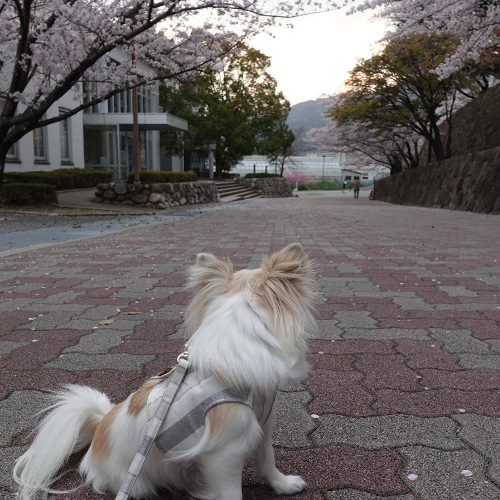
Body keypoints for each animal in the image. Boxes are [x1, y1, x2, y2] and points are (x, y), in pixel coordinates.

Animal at [13, 244, 314, 500]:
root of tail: (99, 426)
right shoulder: (224, 454)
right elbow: (231, 493)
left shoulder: (262, 425)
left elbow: (267, 459)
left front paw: (284, 485)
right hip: (136, 483)